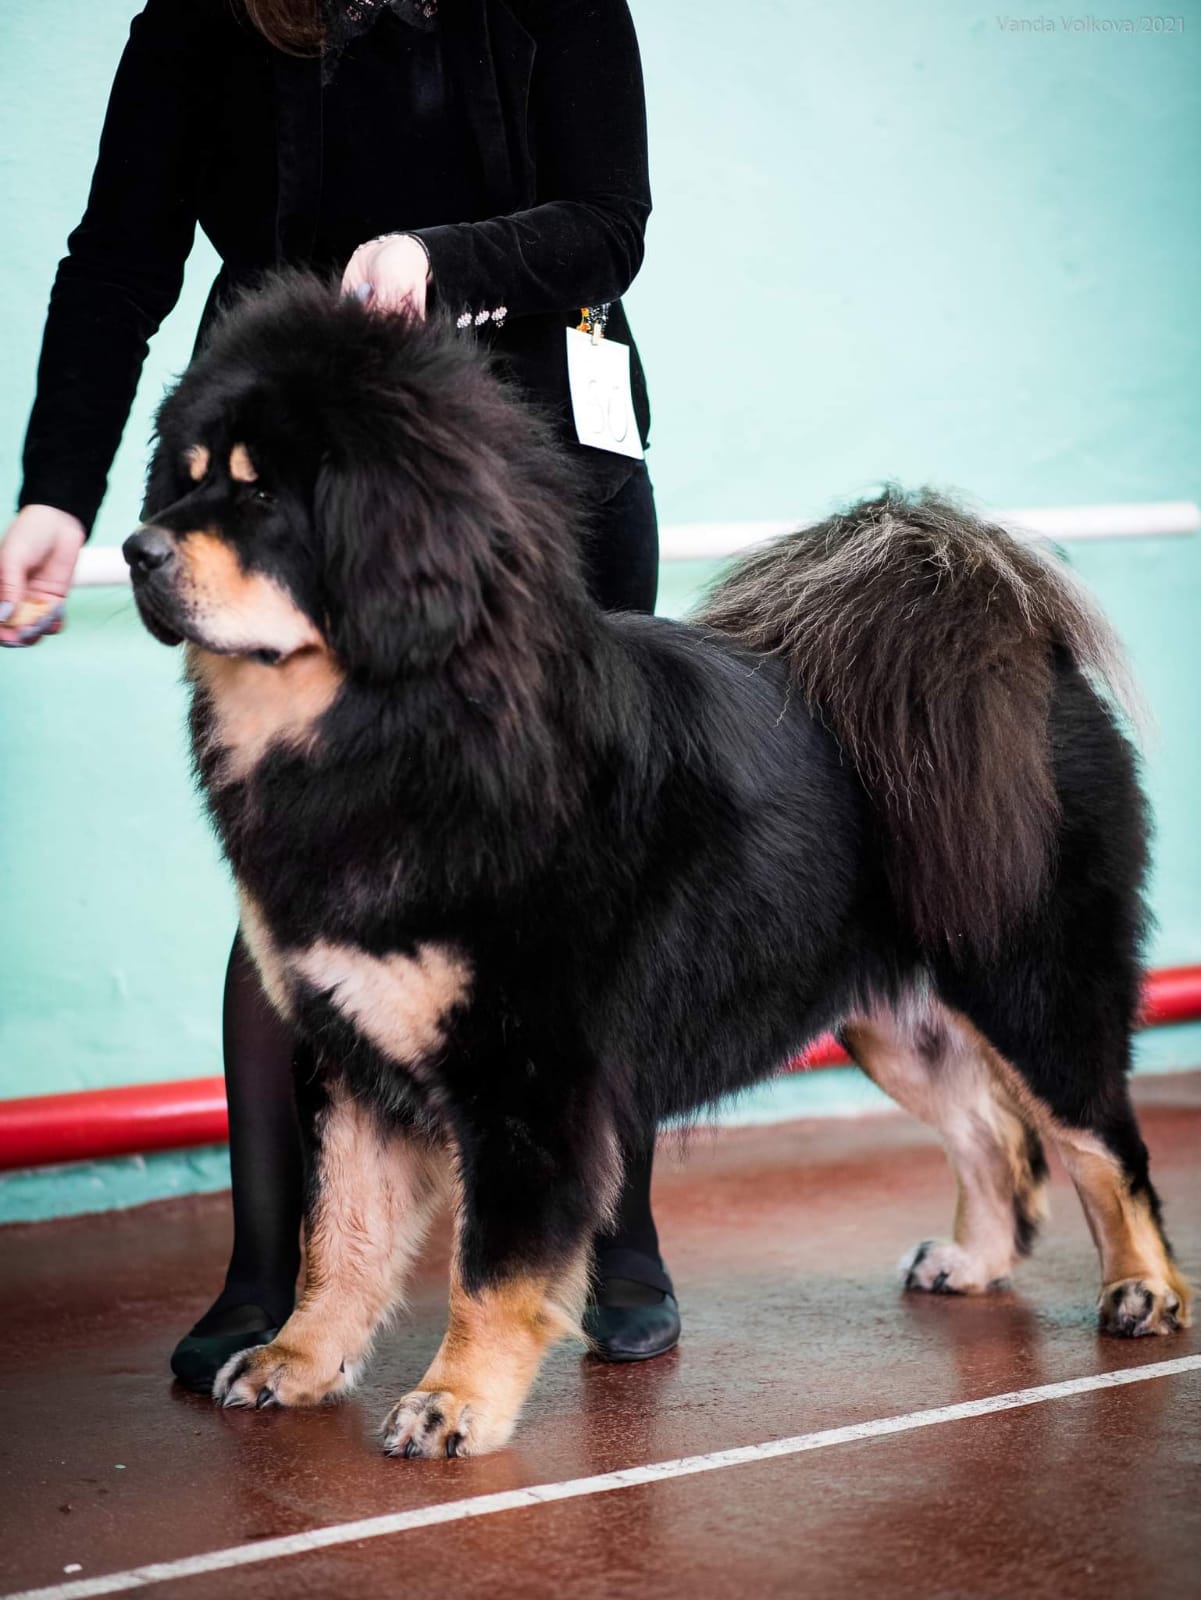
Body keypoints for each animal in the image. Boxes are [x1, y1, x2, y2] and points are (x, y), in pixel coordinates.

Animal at [124, 273, 1191, 1458]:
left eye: (263, 499)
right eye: (189, 481)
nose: (134, 551)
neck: (398, 724)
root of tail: (1017, 652)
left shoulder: (527, 1073)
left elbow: (490, 1265)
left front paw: (455, 1402)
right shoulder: (353, 1050)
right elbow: (340, 1232)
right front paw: (300, 1360)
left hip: (1029, 984)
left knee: (1101, 1141)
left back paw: (1145, 1290)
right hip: (884, 1010)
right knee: (997, 1136)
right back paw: (976, 1259)